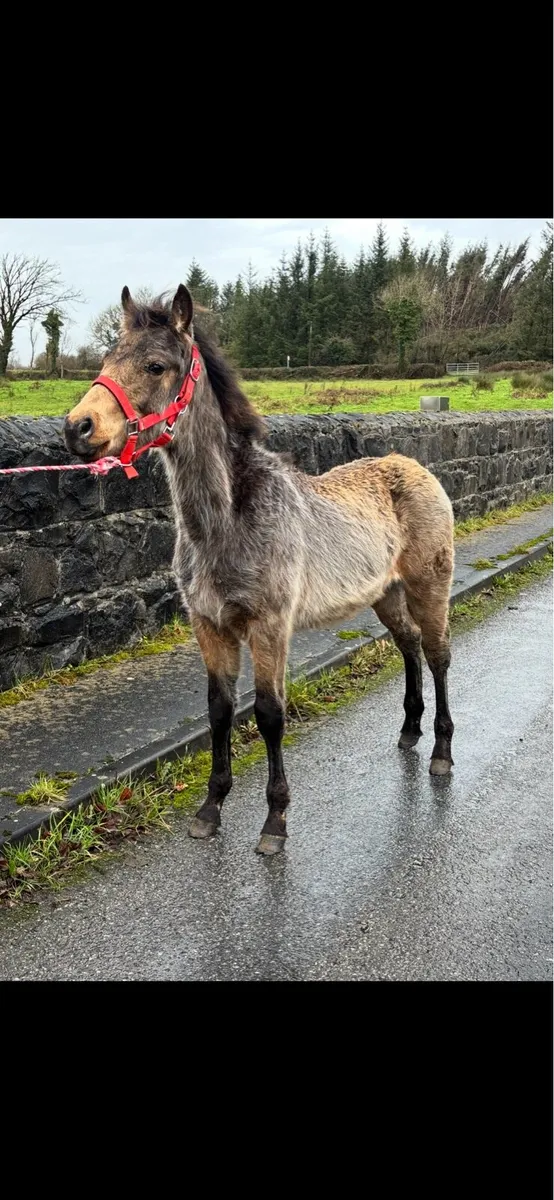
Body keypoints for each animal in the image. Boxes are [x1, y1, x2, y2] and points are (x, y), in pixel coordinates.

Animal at [64, 285, 455, 856]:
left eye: (156, 366)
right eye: (106, 360)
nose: (78, 428)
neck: (227, 520)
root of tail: (417, 467)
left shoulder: (270, 627)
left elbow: (270, 714)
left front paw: (275, 822)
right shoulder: (211, 627)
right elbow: (219, 710)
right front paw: (210, 808)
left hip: (430, 585)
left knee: (437, 653)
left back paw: (442, 753)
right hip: (385, 593)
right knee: (407, 644)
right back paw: (409, 730)